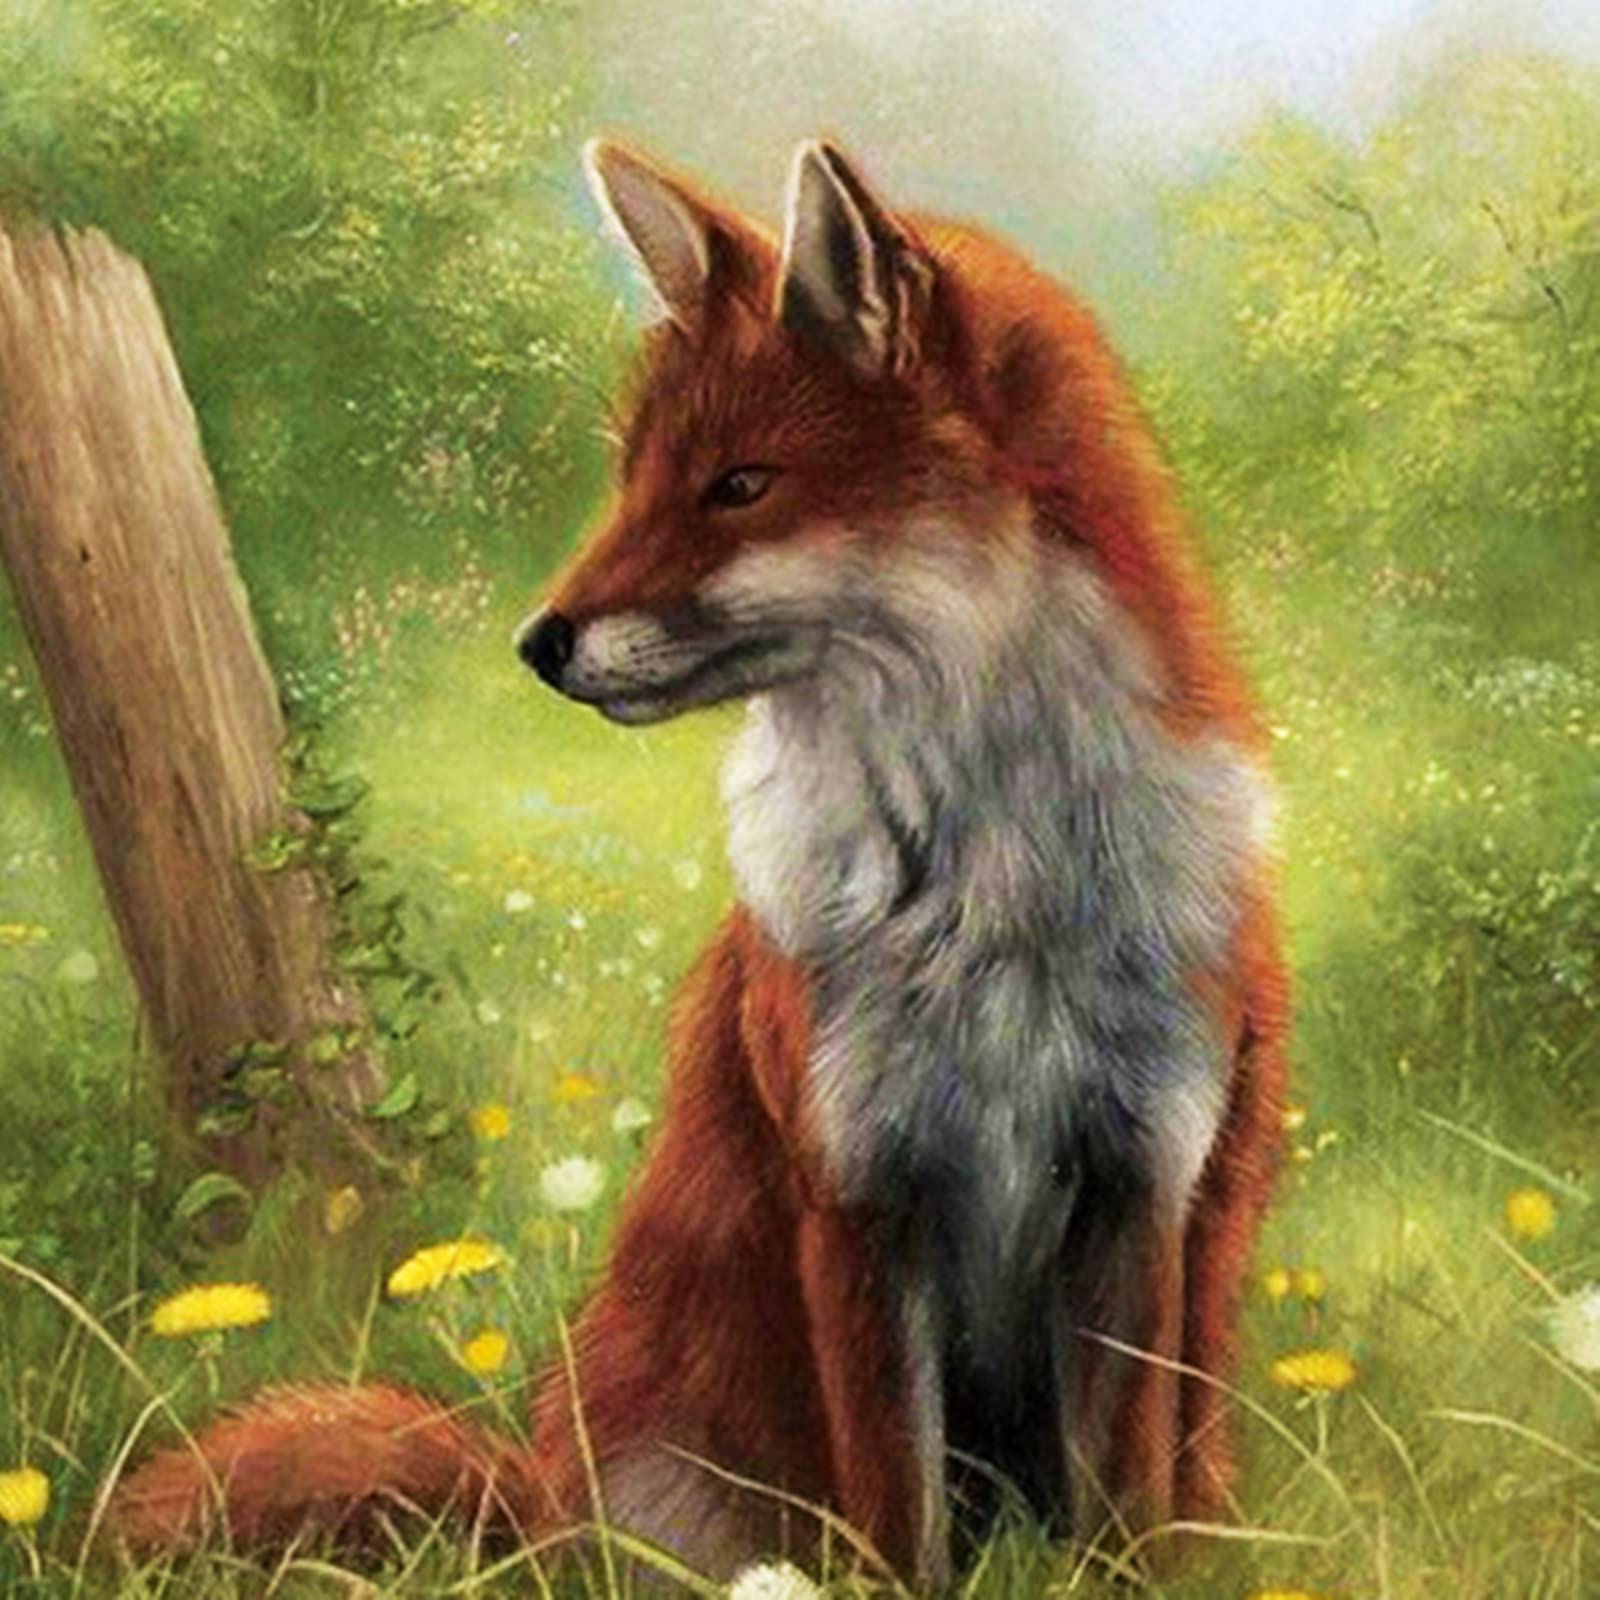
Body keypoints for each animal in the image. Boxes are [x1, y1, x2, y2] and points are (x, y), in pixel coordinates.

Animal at [111, 139, 1289, 1588]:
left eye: (739, 485)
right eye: (636, 477)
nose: (538, 642)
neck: (988, 890)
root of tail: (534, 1487)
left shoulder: (1139, 1186)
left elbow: (1125, 1514)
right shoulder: (852, 1194)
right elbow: (895, 1521)